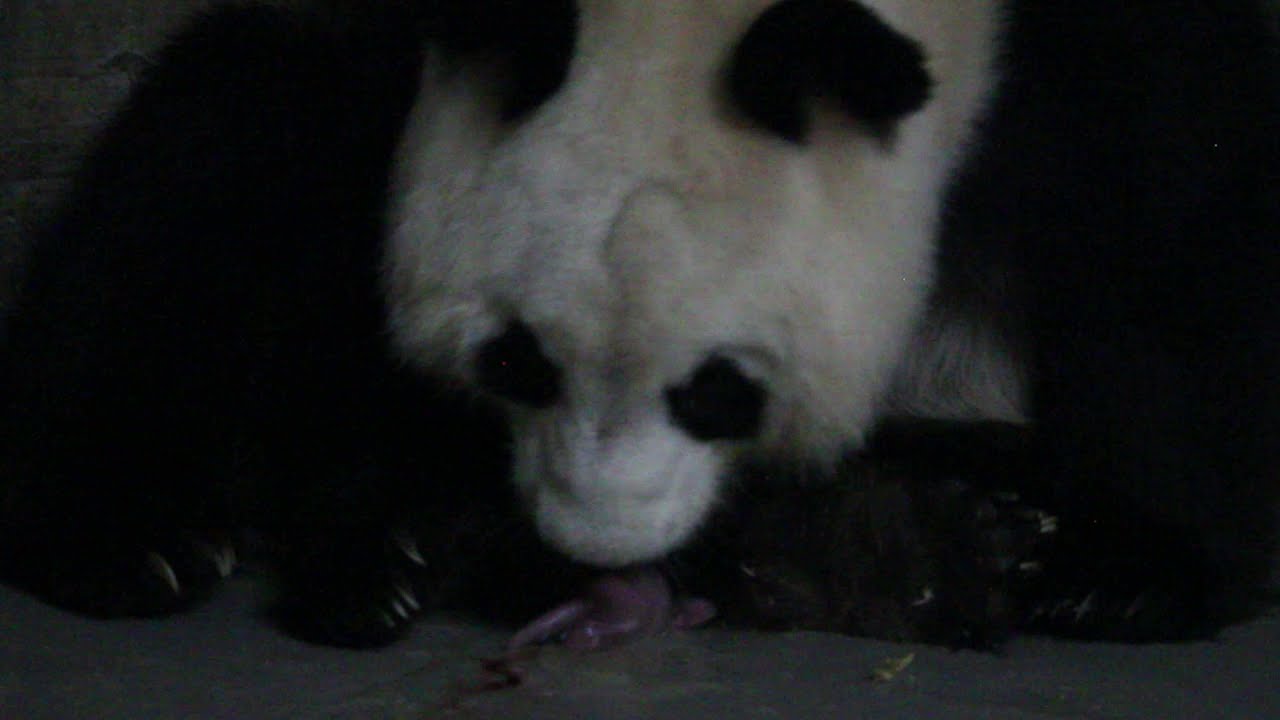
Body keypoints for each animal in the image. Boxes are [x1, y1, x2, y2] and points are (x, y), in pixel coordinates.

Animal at [2, 0, 1276, 650]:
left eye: (718, 389)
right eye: (514, 361)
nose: (596, 546)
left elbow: (1169, 231)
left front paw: (1131, 571)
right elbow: (236, 181)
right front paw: (373, 529)